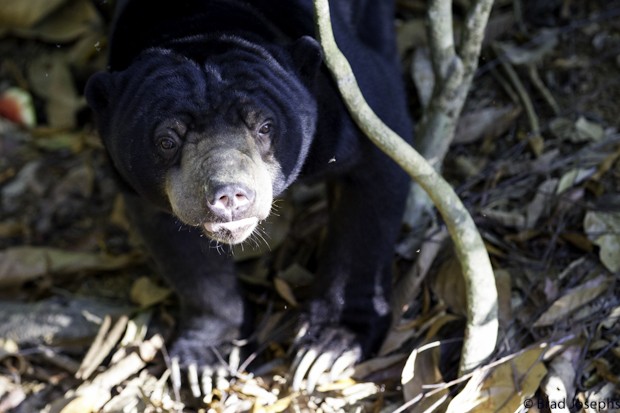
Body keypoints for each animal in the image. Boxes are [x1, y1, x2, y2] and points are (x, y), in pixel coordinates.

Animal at [83, 0, 412, 390]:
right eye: (167, 141)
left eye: (265, 127)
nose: (229, 196)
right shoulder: (140, 186)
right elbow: (187, 259)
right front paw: (205, 362)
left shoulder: (345, 99)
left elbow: (372, 182)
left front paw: (329, 348)